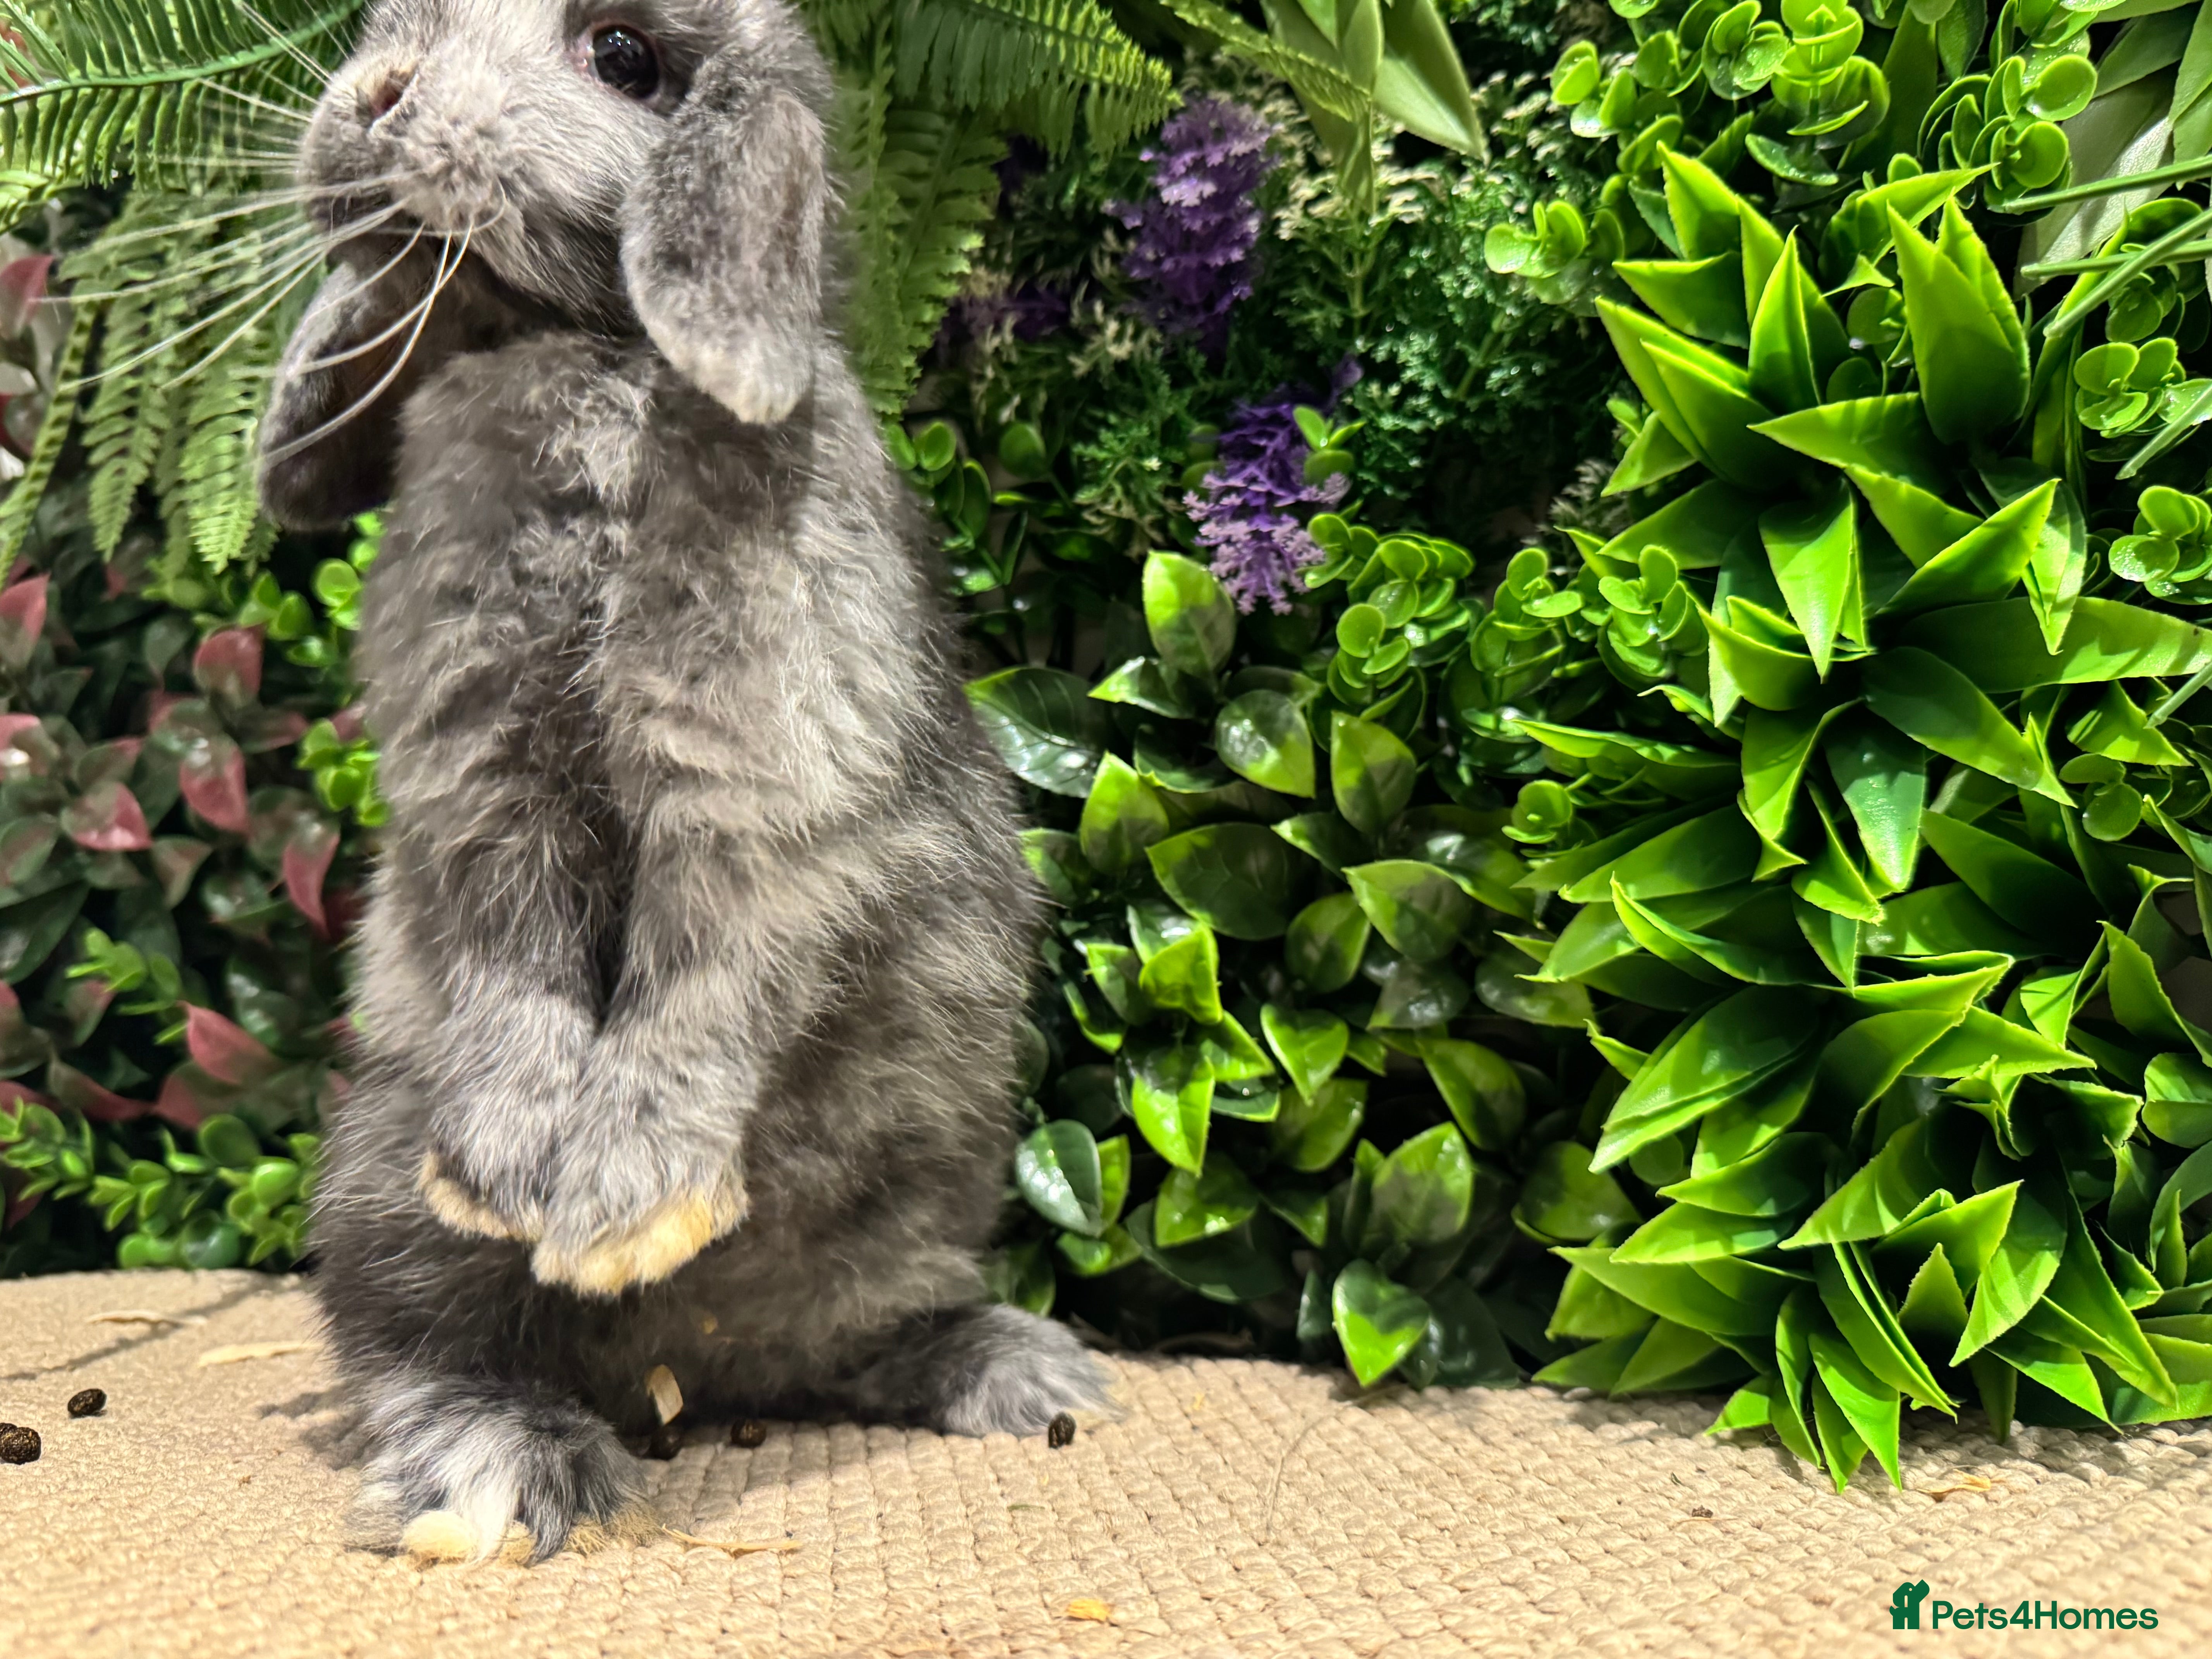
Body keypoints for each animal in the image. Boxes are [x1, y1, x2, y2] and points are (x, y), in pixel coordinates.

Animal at [254, 0, 1106, 1563]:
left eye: (624, 58)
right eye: (395, 22)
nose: (377, 96)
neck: (578, 357)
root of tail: (699, 1377)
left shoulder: (758, 786)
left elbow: (703, 984)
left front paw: (619, 1206)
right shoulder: (479, 780)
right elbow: (516, 967)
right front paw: (516, 1177)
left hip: (920, 1192)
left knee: (861, 1336)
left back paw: (1013, 1367)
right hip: (376, 1178)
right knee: (411, 1344)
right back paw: (501, 1463)